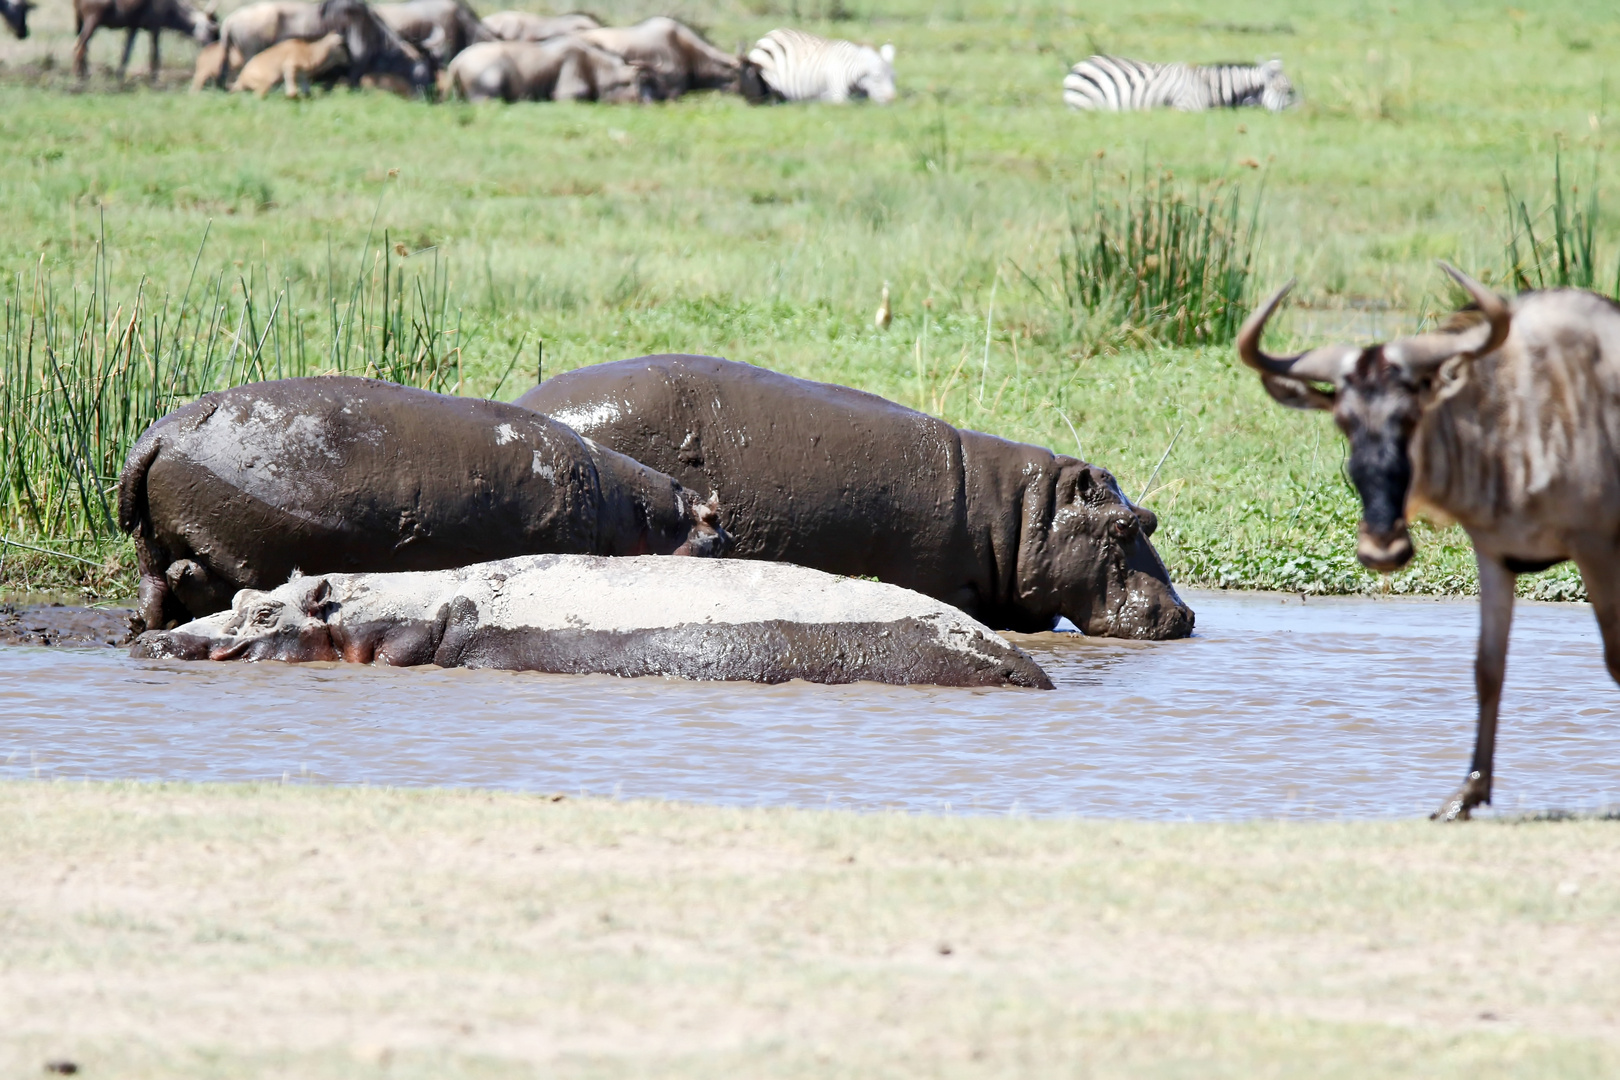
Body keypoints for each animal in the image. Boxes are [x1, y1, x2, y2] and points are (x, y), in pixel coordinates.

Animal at [118, 377, 727, 632]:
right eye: (712, 524)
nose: (727, 535)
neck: (641, 515)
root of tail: (156, 438)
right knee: (189, 580)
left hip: (154, 541)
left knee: (160, 586)